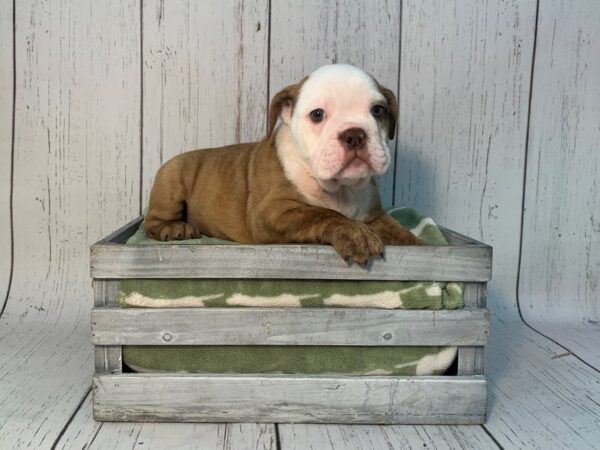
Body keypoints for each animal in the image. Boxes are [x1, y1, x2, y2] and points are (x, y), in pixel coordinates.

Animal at [145, 63, 422, 264]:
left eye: (378, 110)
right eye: (317, 114)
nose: (354, 134)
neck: (341, 189)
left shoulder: (374, 215)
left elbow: (396, 229)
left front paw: (416, 244)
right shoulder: (274, 212)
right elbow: (323, 214)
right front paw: (355, 234)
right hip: (171, 180)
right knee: (152, 223)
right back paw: (174, 229)